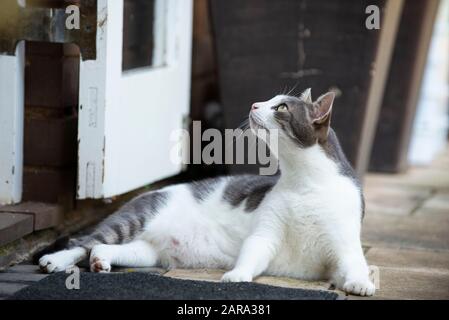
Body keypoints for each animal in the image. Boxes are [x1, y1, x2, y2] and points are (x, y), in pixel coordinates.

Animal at [39, 89, 374, 296]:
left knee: (102, 247)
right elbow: (252, 251)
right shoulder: (265, 233)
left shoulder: (344, 245)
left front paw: (361, 283)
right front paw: (237, 275)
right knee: (83, 242)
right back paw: (55, 260)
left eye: (281, 108)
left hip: (148, 252)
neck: (304, 181)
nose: (255, 104)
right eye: (270, 100)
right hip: (134, 220)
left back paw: (100, 261)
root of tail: (146, 193)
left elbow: (355, 263)